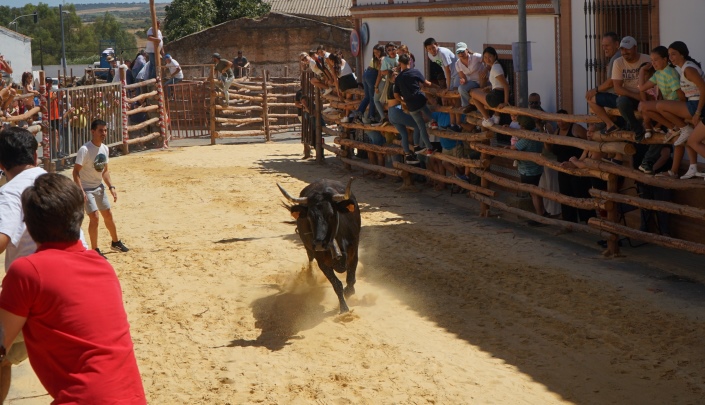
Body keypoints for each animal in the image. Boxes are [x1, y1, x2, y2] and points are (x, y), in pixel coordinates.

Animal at [276, 177, 360, 312]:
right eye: (309, 216)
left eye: (331, 214)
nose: (319, 243)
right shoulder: (322, 263)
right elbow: (337, 284)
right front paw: (344, 309)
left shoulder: (354, 253)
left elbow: (351, 279)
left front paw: (348, 294)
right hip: (308, 247)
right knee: (310, 258)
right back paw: (310, 277)